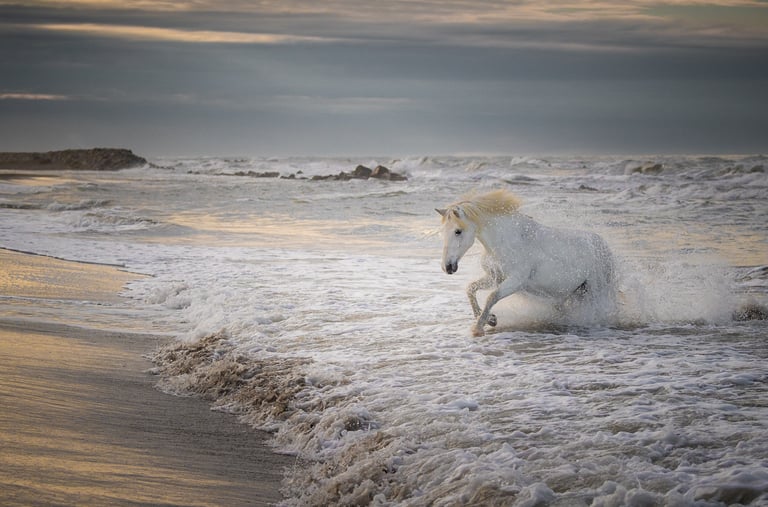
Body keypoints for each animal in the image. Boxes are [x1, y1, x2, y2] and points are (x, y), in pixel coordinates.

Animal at [436, 189, 616, 336]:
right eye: (443, 232)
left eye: (458, 231)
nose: (448, 267)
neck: (505, 242)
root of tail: (604, 246)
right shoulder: (495, 277)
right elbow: (471, 289)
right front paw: (490, 319)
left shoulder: (516, 281)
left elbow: (492, 297)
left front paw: (479, 327)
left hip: (595, 290)